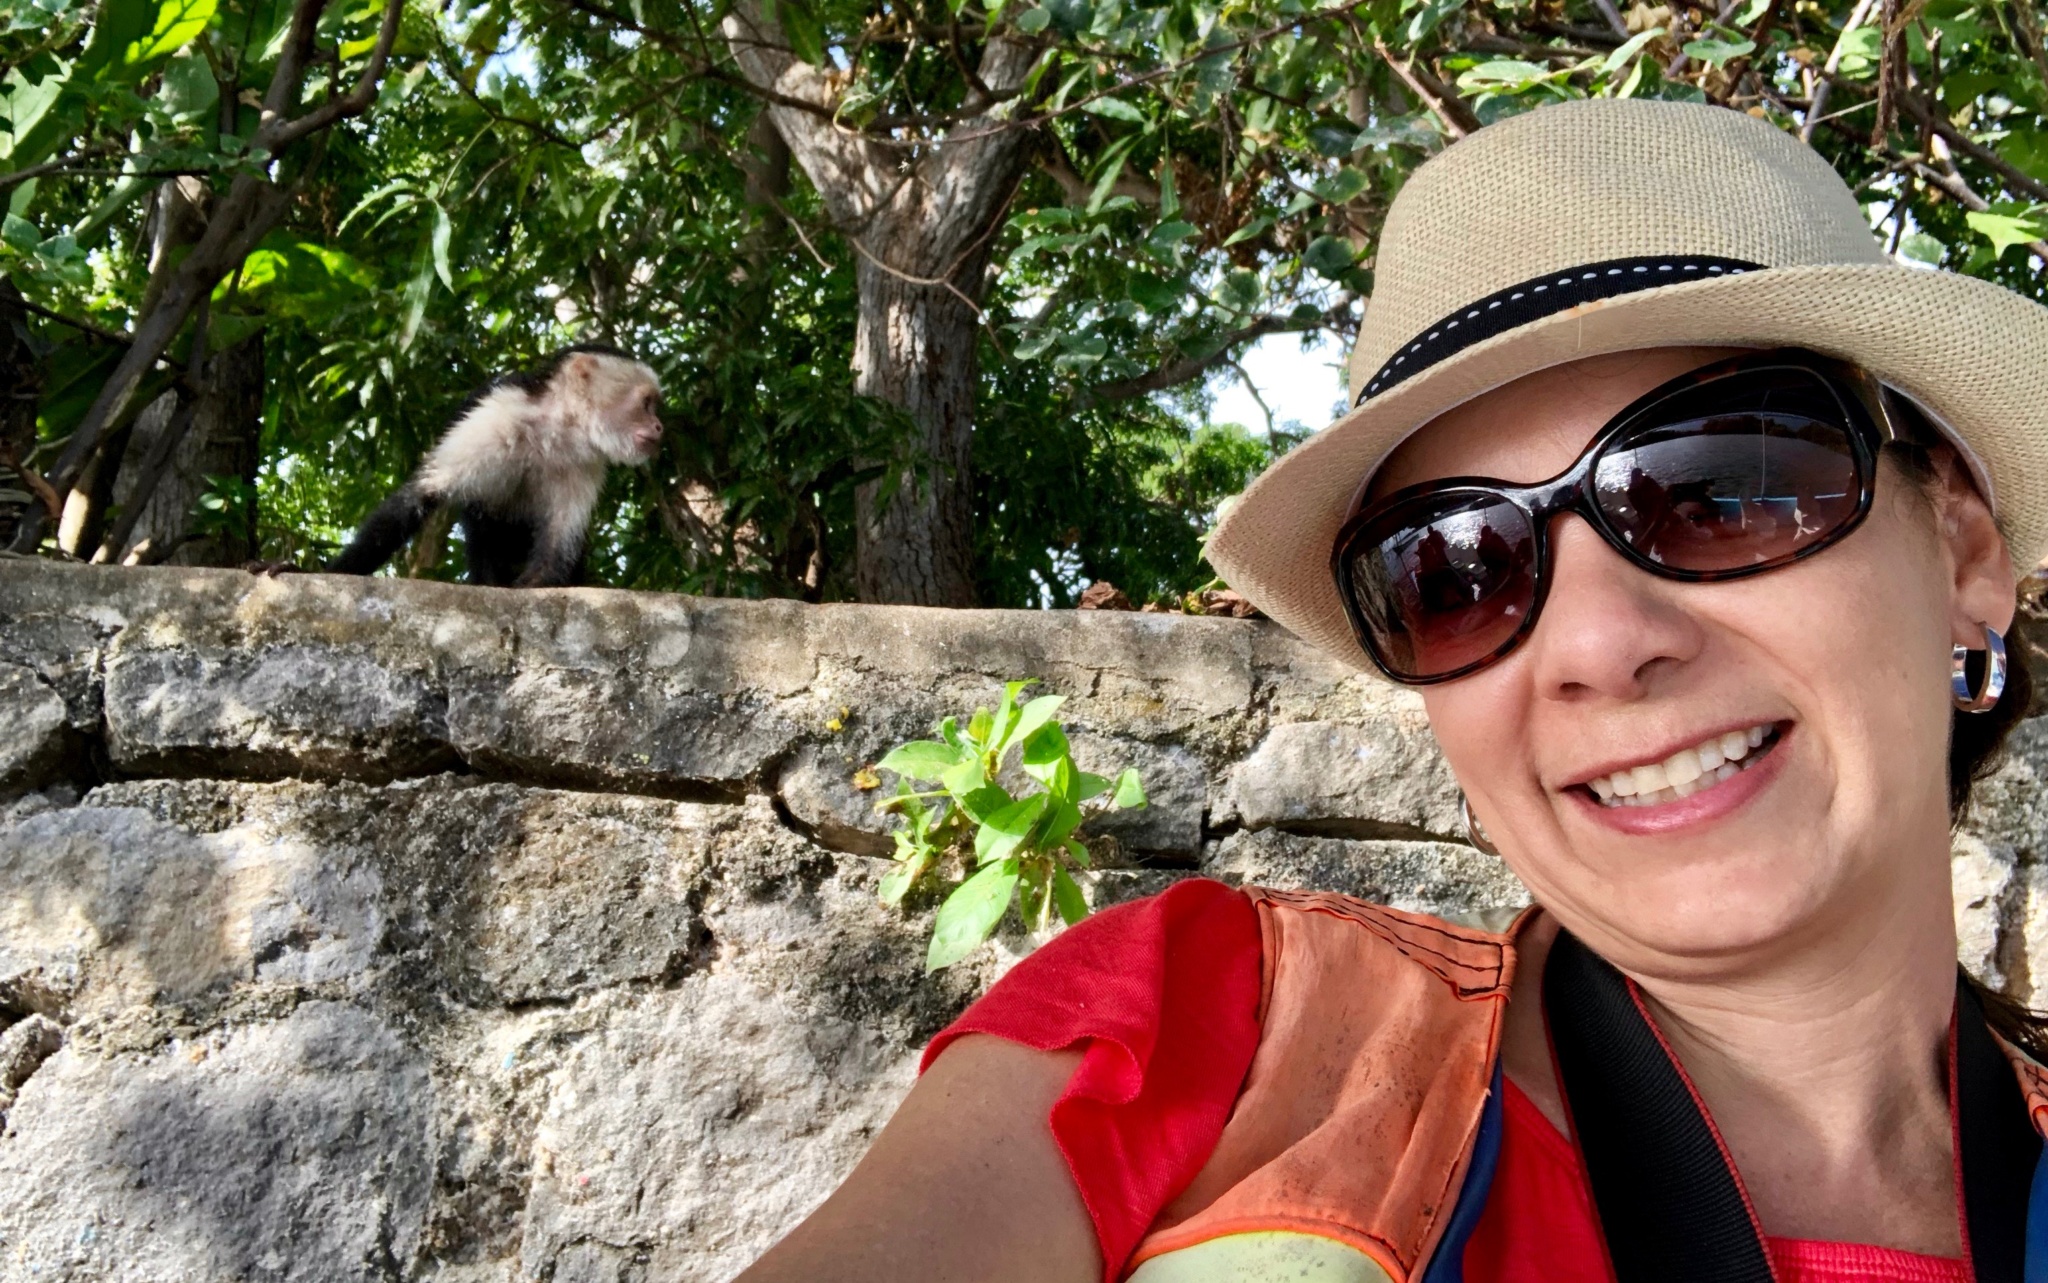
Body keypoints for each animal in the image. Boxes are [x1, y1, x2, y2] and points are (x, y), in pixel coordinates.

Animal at [331, 344, 659, 586]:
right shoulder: (497, 416)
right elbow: (419, 496)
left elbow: (556, 553)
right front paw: (338, 571)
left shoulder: (584, 463)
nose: (660, 427)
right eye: (646, 404)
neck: (554, 431)